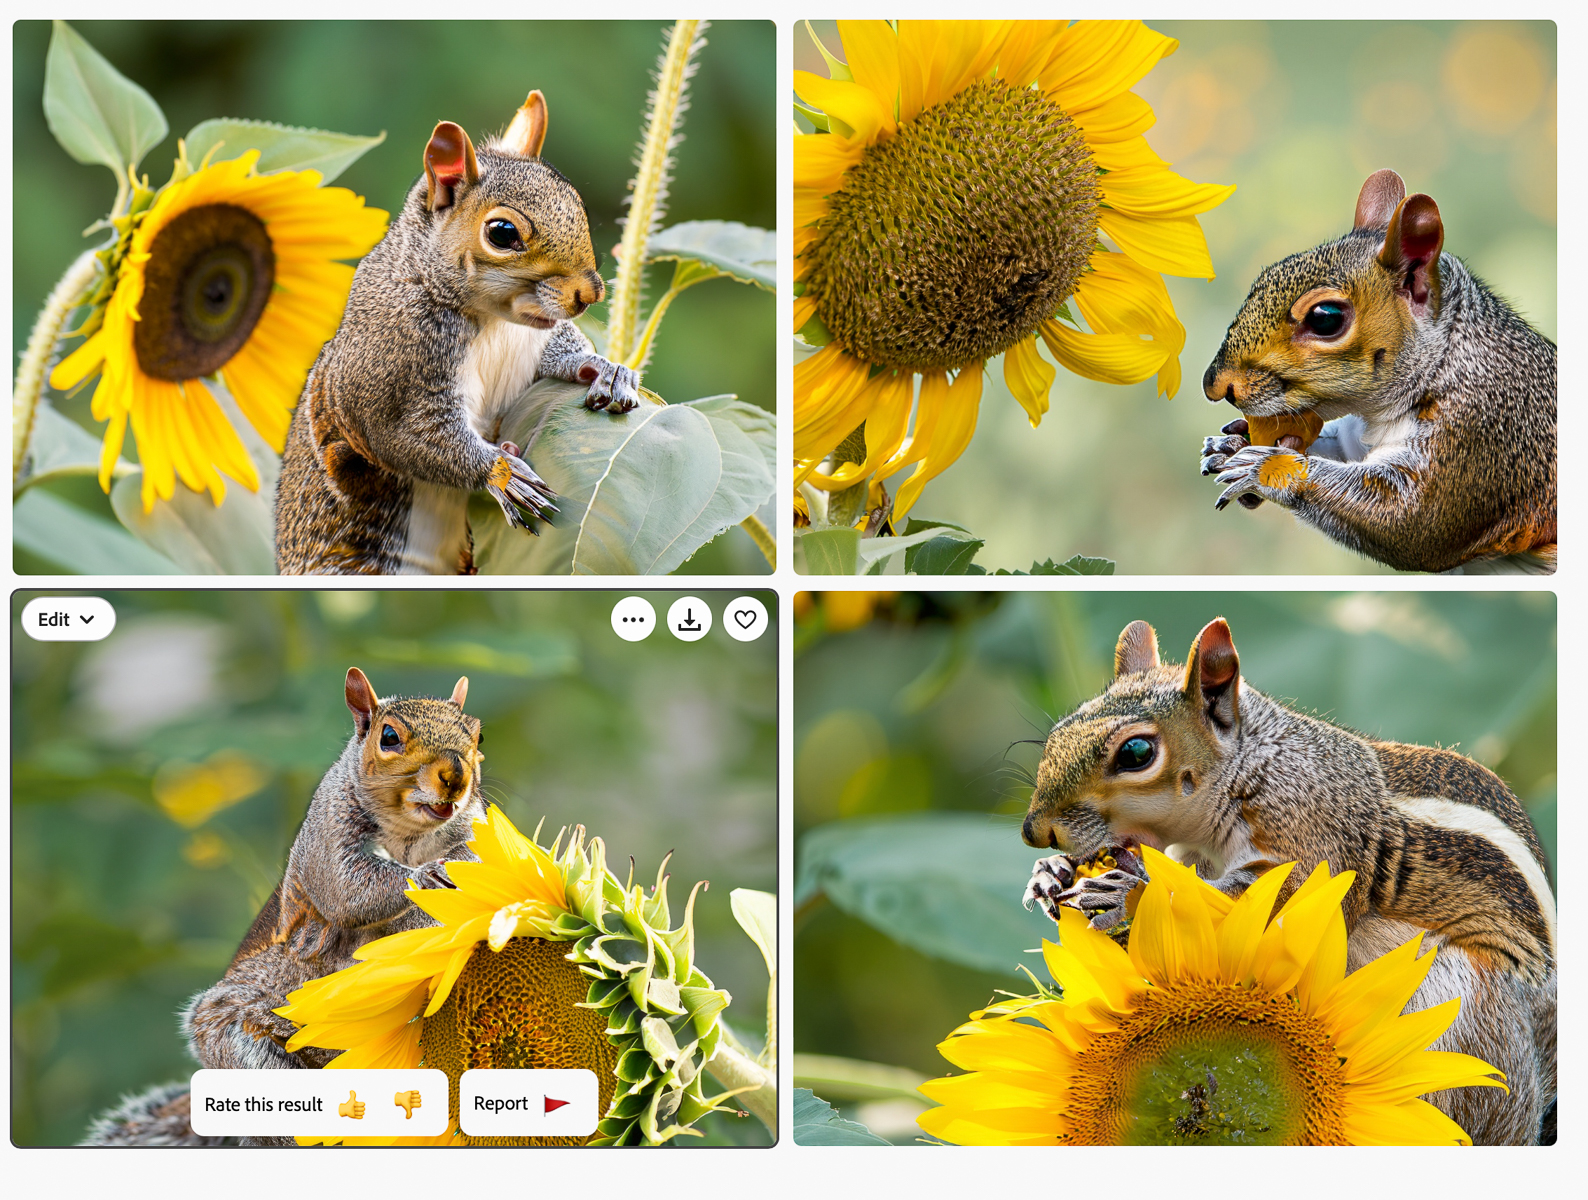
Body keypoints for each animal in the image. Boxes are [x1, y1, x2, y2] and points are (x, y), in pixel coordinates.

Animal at [183, 666, 485, 1079]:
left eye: (478, 735)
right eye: (389, 737)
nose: (455, 778)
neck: (409, 838)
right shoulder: (328, 829)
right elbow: (346, 890)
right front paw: (426, 875)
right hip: (244, 1033)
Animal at [273, 87, 638, 571]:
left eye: (576, 202)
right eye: (502, 233)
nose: (590, 294)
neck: (495, 323)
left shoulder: (535, 342)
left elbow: (560, 354)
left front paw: (604, 369)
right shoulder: (391, 370)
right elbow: (412, 438)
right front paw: (502, 475)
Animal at [1022, 619, 1556, 1142]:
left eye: (1136, 752)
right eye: (1057, 732)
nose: (1034, 831)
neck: (1254, 764)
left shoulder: (1321, 837)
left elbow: (1276, 904)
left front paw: (1129, 892)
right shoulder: (1193, 855)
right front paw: (1053, 873)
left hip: (1465, 1015)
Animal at [1200, 169, 1549, 577]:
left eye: (1325, 318)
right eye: (1266, 275)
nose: (1214, 386)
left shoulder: (1479, 437)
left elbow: (1413, 521)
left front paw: (1264, 466)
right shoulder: (1357, 437)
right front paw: (1233, 443)